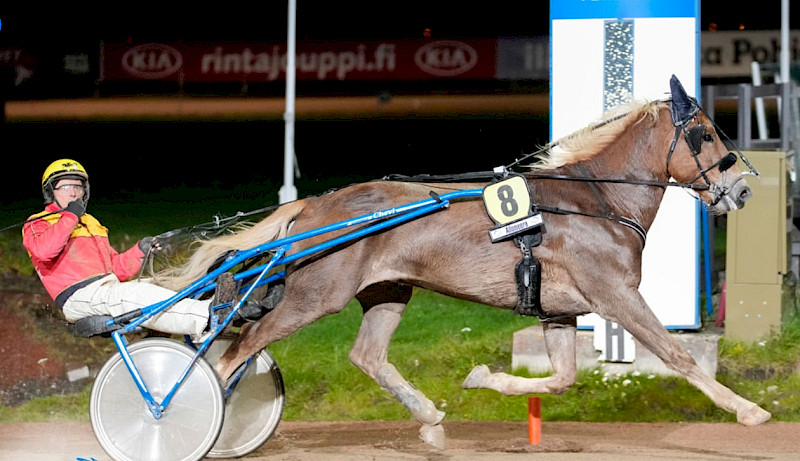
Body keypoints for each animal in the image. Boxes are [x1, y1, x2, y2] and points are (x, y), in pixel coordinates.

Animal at [155, 77, 768, 448]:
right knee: (238, 349)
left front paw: (482, 377)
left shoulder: (559, 310)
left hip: (389, 291)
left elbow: (563, 378)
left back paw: (429, 421)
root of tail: (315, 205)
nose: (741, 190)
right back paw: (182, 411)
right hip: (315, 296)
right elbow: (676, 356)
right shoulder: (616, 295)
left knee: (366, 355)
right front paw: (749, 412)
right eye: (705, 134)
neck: (597, 201)